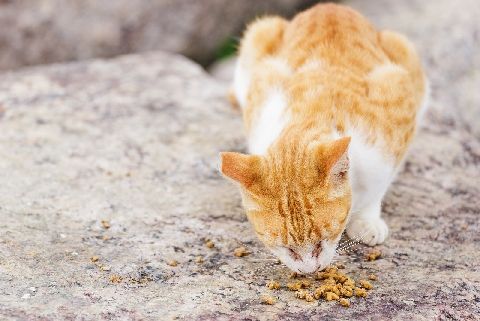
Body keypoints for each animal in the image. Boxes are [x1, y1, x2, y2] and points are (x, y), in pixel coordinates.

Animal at [219, 2, 426, 272]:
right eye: (287, 248)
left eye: (322, 241)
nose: (309, 270)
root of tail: (329, 6)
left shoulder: (395, 116)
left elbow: (379, 186)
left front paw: (367, 221)